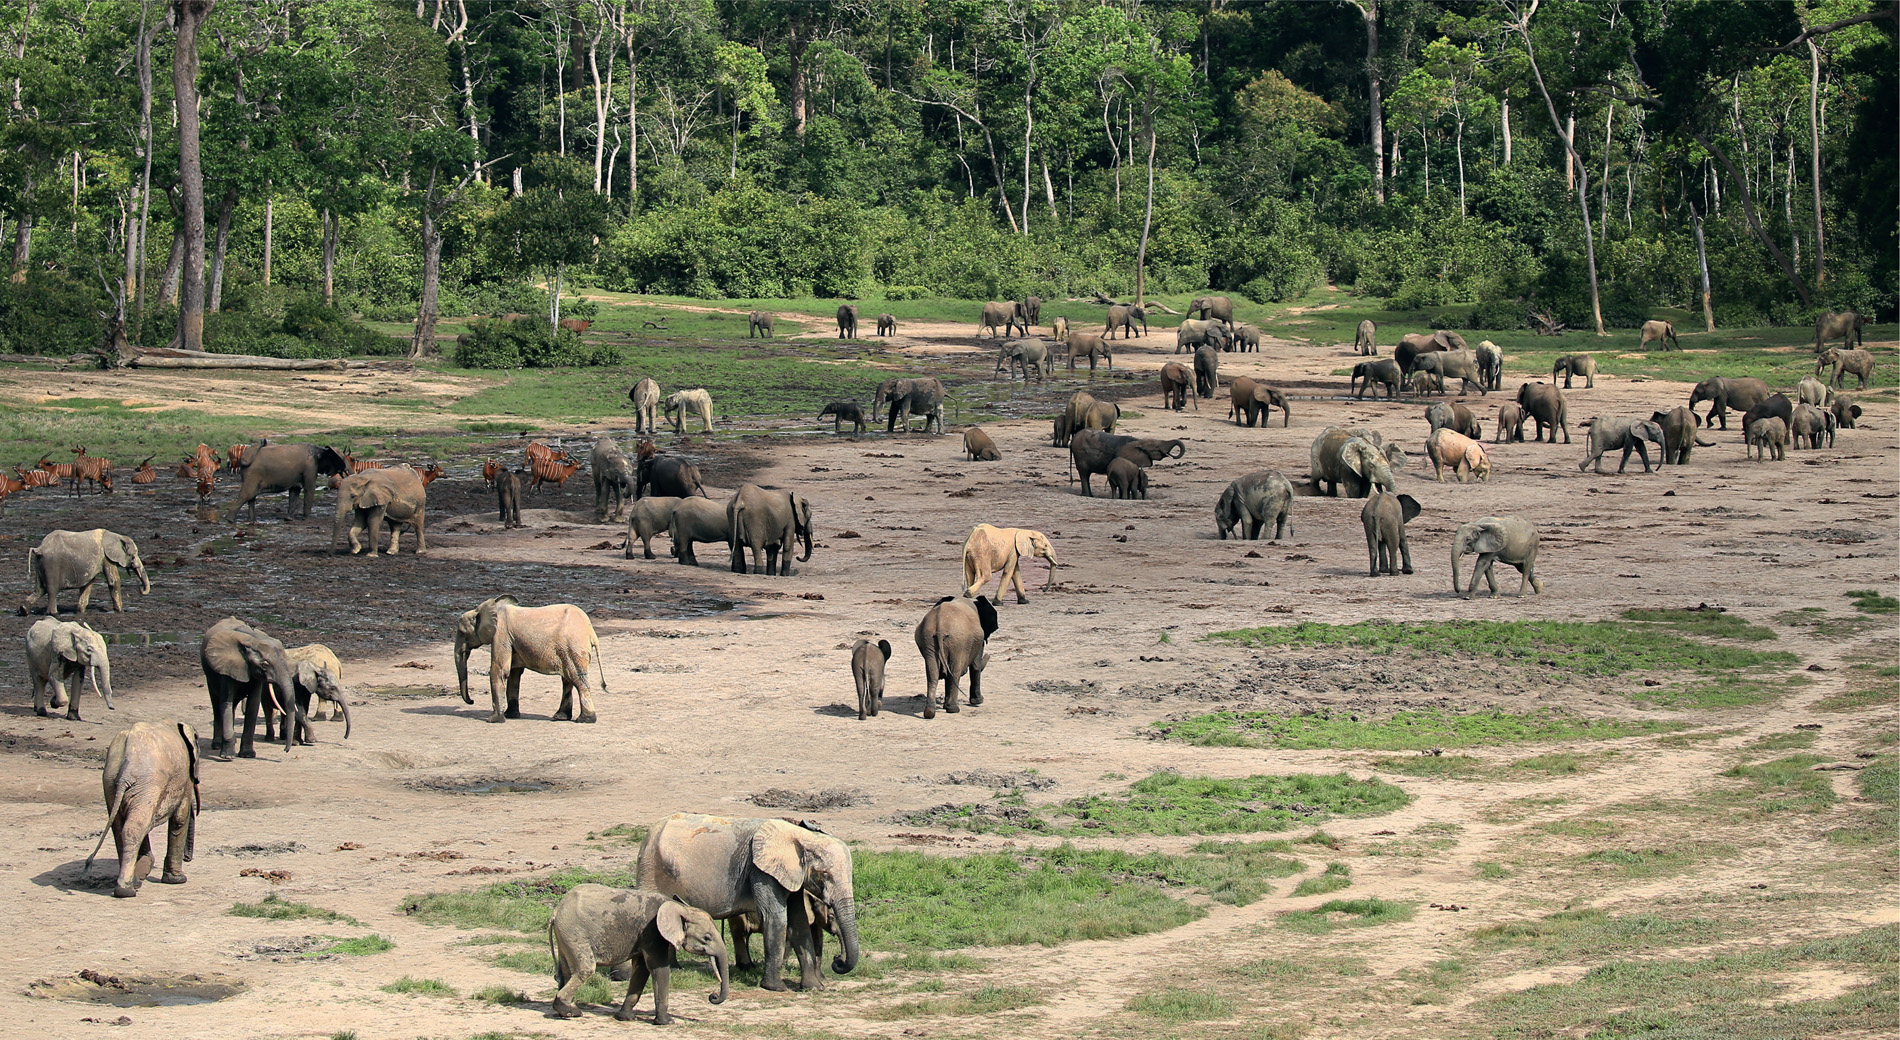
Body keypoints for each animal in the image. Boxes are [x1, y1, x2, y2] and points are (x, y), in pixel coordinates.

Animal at [85, 718, 198, 901]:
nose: (188, 858)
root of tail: (126, 765)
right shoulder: (185, 776)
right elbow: (180, 818)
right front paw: (178, 880)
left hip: (111, 782)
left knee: (123, 827)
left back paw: (133, 883)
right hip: (148, 783)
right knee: (134, 828)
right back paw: (127, 890)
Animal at [199, 619, 300, 756]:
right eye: (265, 664)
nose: (285, 750)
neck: (252, 640)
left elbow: (253, 704)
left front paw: (247, 755)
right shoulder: (226, 669)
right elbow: (226, 703)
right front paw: (227, 756)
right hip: (210, 675)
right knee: (216, 704)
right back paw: (217, 745)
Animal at [450, 593, 604, 726]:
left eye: (462, 633)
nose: (472, 701)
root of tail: (591, 632)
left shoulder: (501, 634)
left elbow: (499, 671)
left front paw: (494, 720)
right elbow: (514, 673)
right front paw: (510, 716)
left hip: (573, 648)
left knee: (577, 679)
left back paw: (584, 720)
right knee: (567, 680)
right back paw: (561, 717)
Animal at [551, 885, 733, 1026]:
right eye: (707, 938)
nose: (713, 996)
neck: (678, 907)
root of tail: (557, 910)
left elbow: (641, 969)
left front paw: (626, 1018)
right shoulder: (652, 931)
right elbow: (659, 968)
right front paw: (667, 1022)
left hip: (565, 934)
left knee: (567, 971)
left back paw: (565, 1011)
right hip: (574, 932)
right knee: (585, 969)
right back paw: (571, 1012)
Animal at [638, 813, 862, 996]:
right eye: (824, 875)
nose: (837, 961)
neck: (800, 836)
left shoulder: (790, 876)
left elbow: (799, 923)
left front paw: (814, 988)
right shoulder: (761, 871)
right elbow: (776, 917)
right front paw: (776, 988)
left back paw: (675, 968)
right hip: (651, 869)